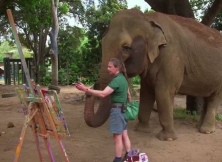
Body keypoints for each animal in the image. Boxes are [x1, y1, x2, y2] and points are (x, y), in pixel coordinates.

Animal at [82, 8, 222, 140]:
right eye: (102, 42)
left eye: (126, 48)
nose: (89, 91)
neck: (148, 19)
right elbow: (146, 92)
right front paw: (141, 130)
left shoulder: (172, 56)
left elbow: (163, 91)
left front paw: (167, 138)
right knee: (208, 97)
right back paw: (200, 127)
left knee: (214, 98)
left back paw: (206, 130)